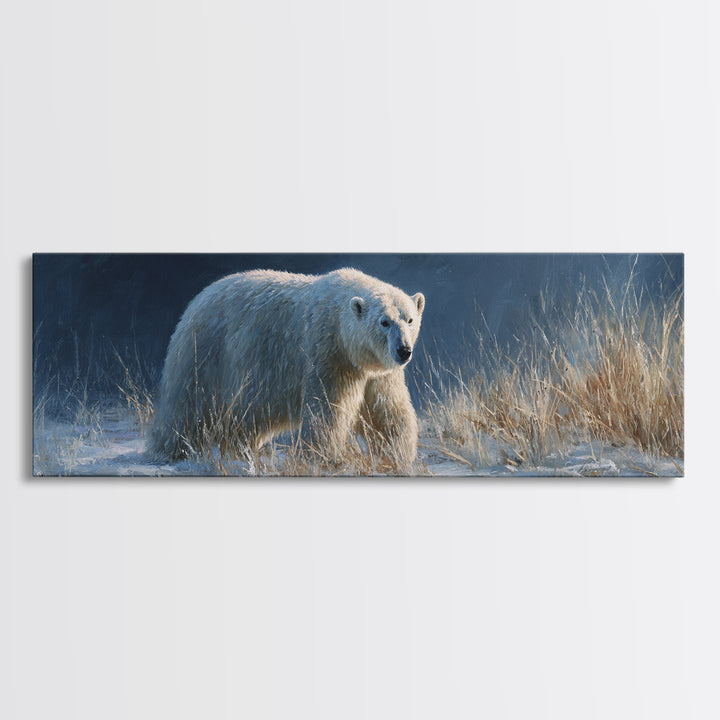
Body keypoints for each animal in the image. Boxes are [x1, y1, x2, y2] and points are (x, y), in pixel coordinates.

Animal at [147, 268, 425, 474]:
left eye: (410, 319)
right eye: (384, 322)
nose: (403, 350)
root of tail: (195, 303)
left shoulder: (375, 372)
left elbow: (387, 410)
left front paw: (396, 456)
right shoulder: (327, 354)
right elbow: (326, 412)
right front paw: (325, 459)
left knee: (245, 421)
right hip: (205, 357)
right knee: (186, 410)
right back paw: (171, 451)